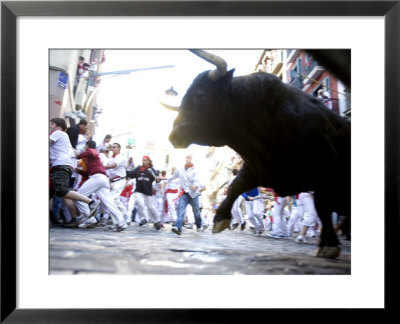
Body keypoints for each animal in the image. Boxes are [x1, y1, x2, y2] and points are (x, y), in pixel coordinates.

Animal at [166, 50, 350, 258]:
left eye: (199, 95)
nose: (173, 135)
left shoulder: (325, 169)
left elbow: (322, 207)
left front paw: (329, 245)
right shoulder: (257, 167)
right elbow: (234, 186)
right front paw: (220, 218)